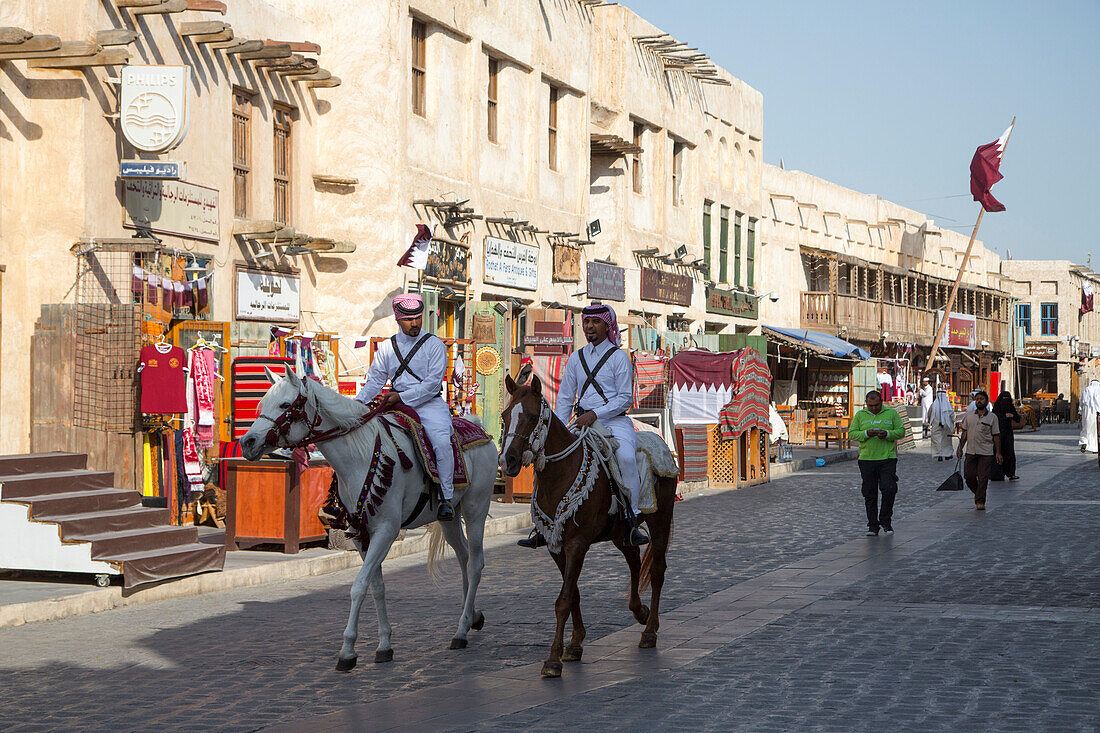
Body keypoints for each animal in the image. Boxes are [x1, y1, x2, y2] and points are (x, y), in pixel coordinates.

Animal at [243, 367, 501, 669]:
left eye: (285, 404)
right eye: (262, 404)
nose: (247, 442)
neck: (359, 456)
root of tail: (479, 427)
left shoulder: (386, 532)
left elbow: (358, 587)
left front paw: (347, 651)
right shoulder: (361, 535)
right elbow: (376, 586)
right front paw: (384, 644)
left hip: (476, 509)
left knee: (475, 564)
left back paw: (461, 631)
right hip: (449, 518)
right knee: (463, 558)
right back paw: (471, 616)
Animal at [501, 374, 677, 677]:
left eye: (533, 417)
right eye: (504, 416)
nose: (507, 460)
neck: (559, 474)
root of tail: (660, 441)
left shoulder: (577, 544)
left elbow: (563, 600)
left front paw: (553, 659)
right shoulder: (556, 546)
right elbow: (572, 594)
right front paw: (574, 644)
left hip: (660, 519)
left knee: (656, 570)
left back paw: (650, 630)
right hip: (620, 533)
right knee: (634, 559)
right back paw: (639, 611)